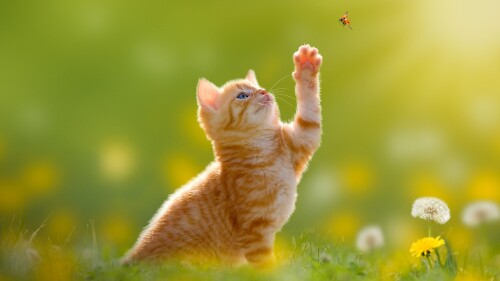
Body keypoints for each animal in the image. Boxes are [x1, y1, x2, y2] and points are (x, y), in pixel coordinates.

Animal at [123, 44, 322, 266]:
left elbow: (310, 115)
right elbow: (264, 264)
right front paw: (276, 271)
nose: (264, 91)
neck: (264, 149)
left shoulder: (301, 139)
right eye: (243, 96)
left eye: (259, 88)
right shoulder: (254, 231)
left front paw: (306, 67)